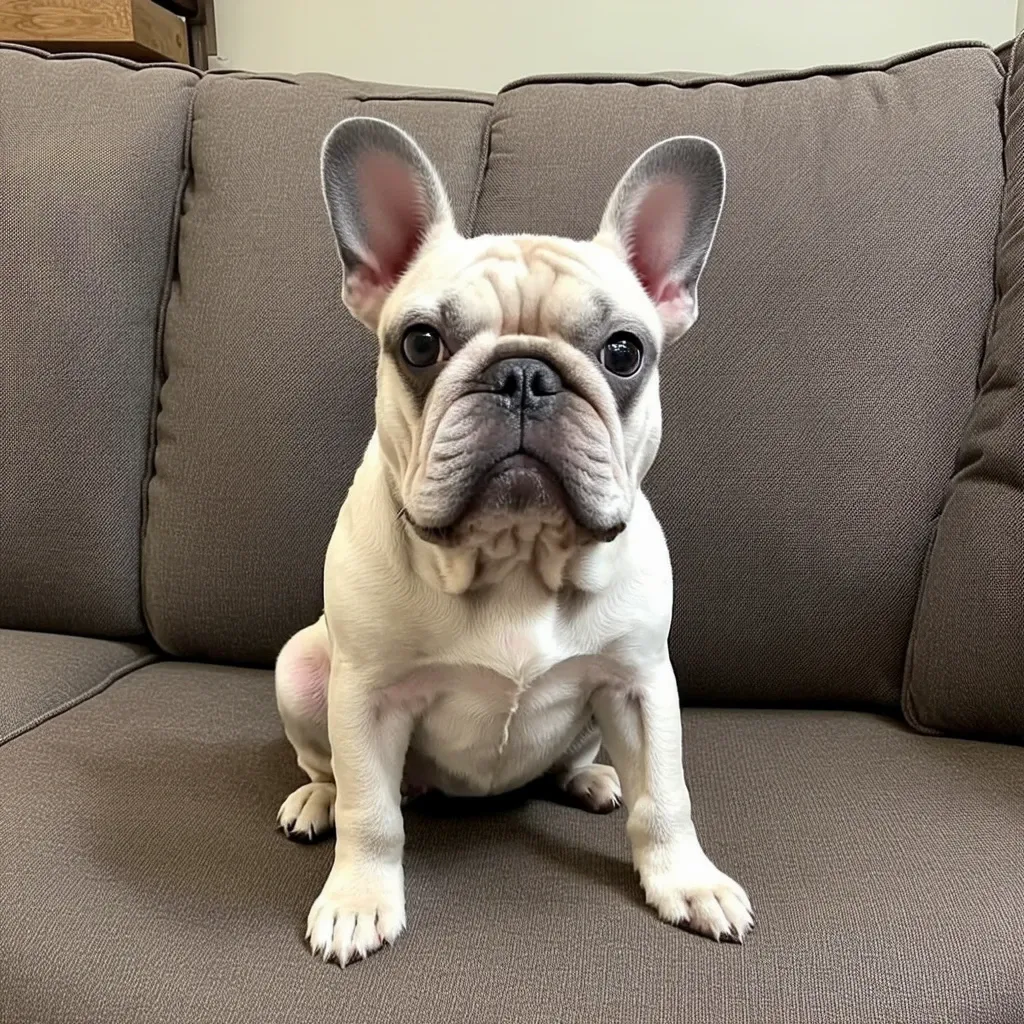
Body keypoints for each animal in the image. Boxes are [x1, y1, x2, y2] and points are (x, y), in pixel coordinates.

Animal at [272, 116, 753, 962]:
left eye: (623, 351)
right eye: (420, 343)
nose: (525, 374)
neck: (515, 555)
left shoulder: (641, 684)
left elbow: (665, 797)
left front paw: (688, 882)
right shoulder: (364, 694)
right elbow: (373, 814)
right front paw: (359, 898)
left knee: (589, 763)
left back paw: (590, 779)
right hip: (302, 668)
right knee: (337, 773)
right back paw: (314, 800)